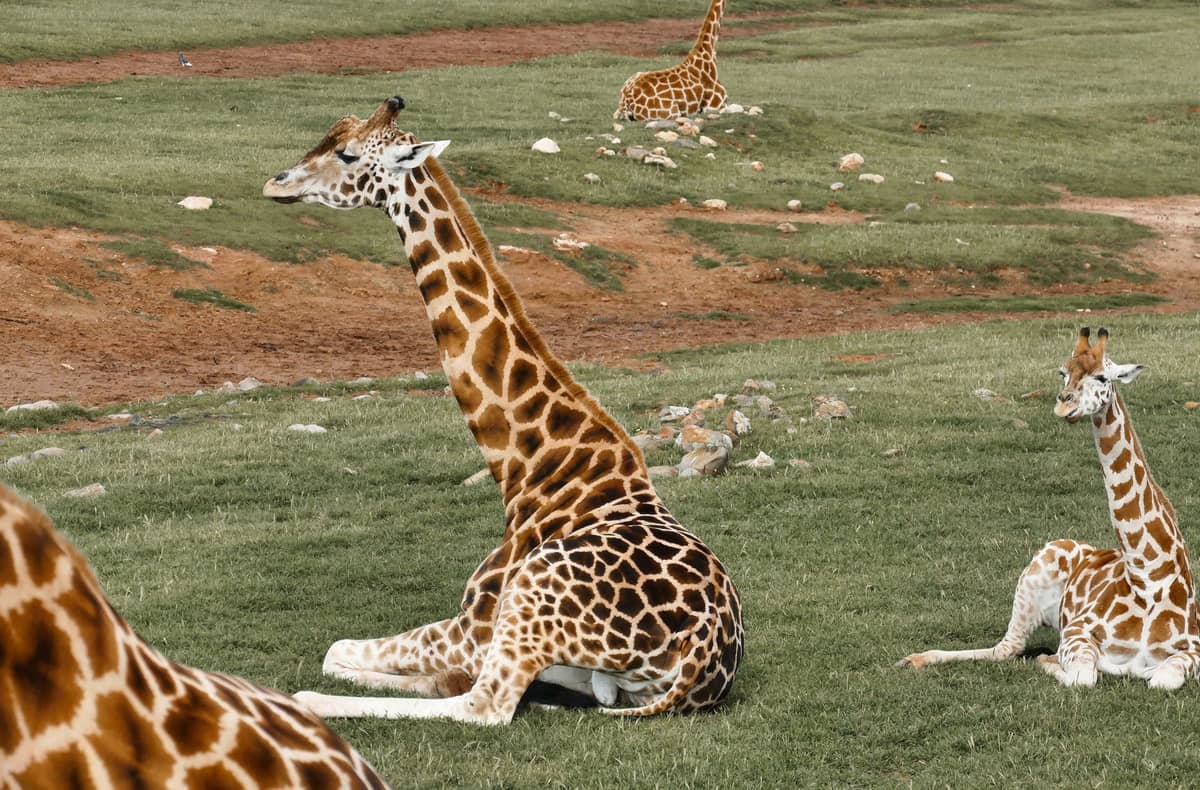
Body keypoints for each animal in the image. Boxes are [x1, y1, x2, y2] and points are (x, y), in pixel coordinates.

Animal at [261, 96, 743, 725]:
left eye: (346, 153)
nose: (274, 184)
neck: (526, 469)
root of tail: (701, 662)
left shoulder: (474, 627)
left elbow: (335, 650)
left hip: (531, 605)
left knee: (482, 706)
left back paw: (307, 703)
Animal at [899, 327, 1200, 689]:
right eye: (1062, 372)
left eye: (1102, 376)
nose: (1063, 404)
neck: (1148, 575)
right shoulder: (1076, 632)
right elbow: (1083, 676)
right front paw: (1050, 660)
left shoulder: (1193, 650)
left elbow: (1162, 678)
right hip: (1032, 577)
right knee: (1006, 648)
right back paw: (914, 658)